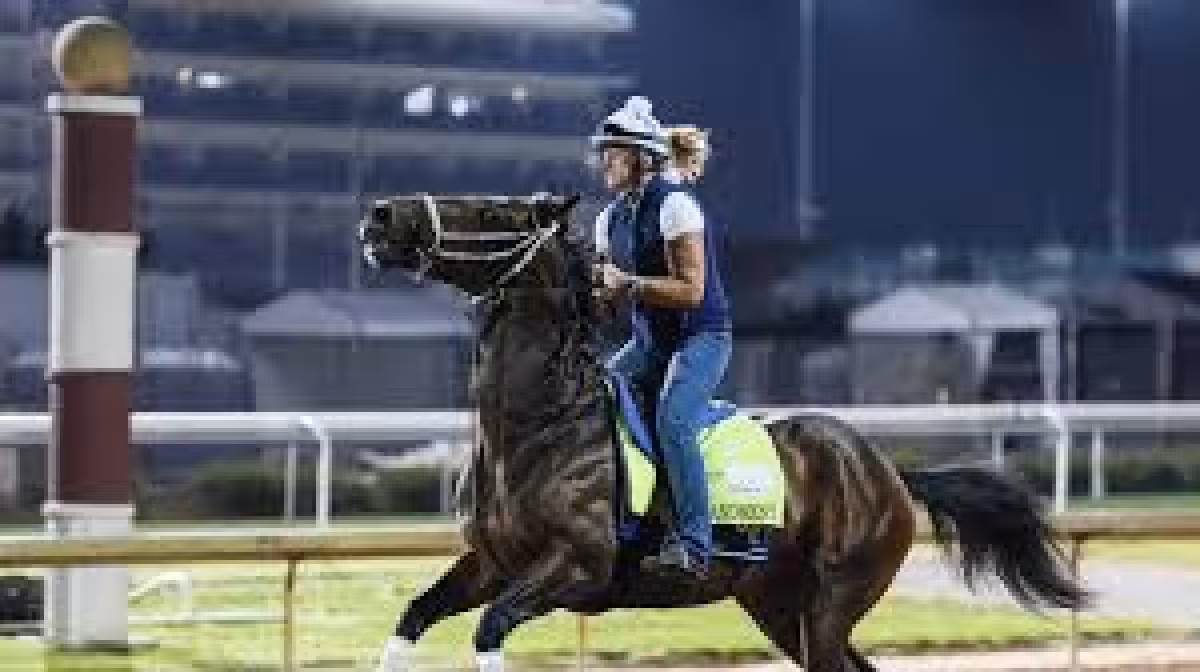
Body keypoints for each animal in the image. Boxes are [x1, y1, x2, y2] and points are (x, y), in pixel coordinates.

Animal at [358, 193, 1087, 672]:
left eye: (492, 212)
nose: (380, 215)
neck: (542, 425)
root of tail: (887, 469)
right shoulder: (491, 563)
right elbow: (412, 617)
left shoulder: (576, 567)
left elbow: (489, 629)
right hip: (779, 605)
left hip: (833, 599)